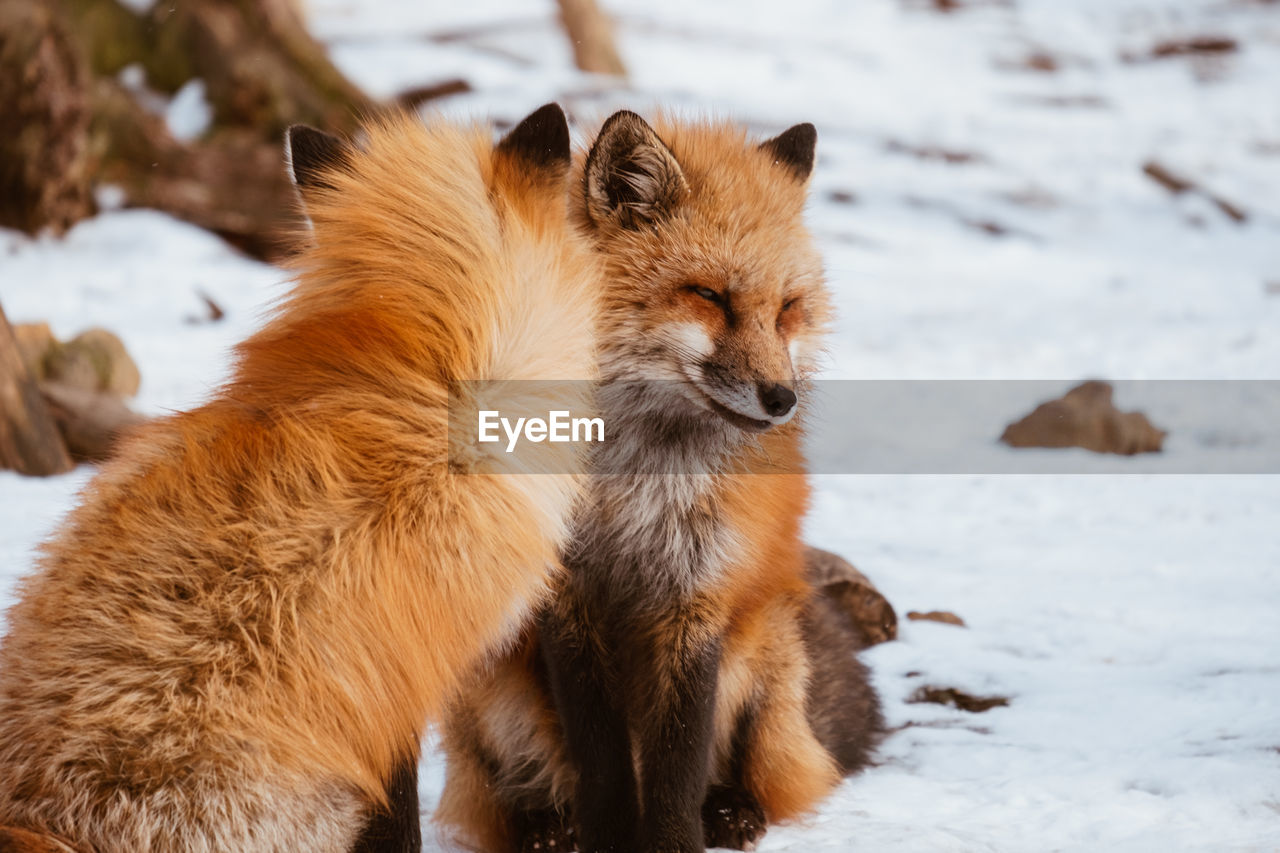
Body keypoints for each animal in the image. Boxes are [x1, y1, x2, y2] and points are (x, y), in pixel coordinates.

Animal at [435, 112, 885, 850]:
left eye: (787, 309)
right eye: (710, 296)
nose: (782, 399)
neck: (635, 486)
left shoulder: (695, 598)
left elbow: (678, 761)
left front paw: (673, 840)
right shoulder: (567, 598)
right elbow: (601, 755)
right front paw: (610, 836)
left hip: (763, 655)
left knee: (767, 776)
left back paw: (733, 812)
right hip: (493, 680)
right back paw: (546, 827)